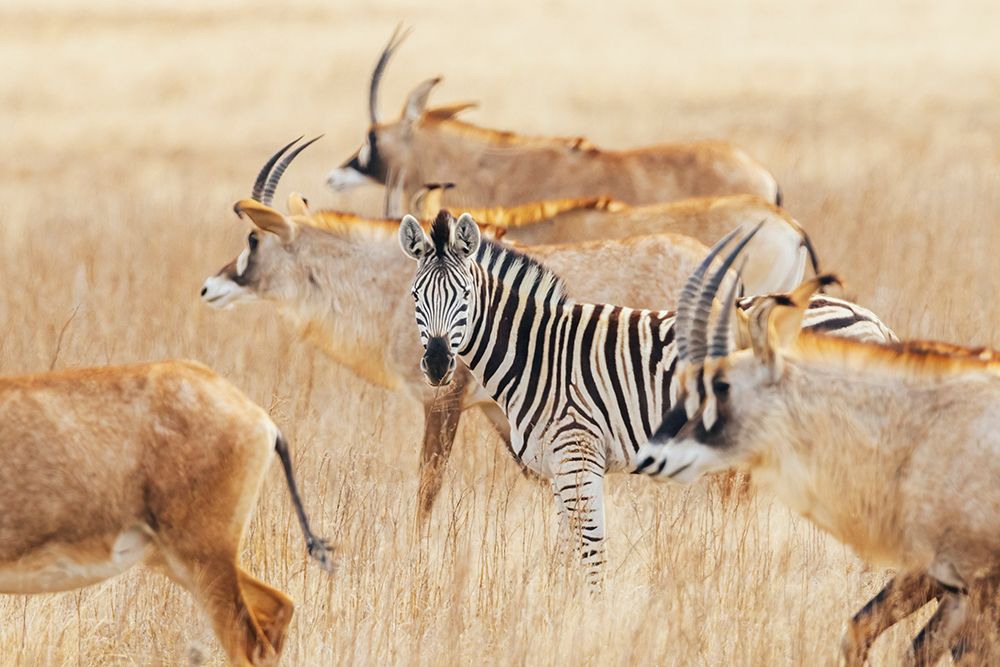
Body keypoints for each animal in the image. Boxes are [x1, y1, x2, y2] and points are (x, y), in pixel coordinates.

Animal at [399, 210, 895, 586]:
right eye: (416, 296)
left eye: (465, 295)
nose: (438, 364)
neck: (540, 352)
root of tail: (872, 320)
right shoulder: (559, 465)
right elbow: (564, 550)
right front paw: (559, 611)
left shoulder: (578, 453)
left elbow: (590, 549)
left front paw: (589, 620)